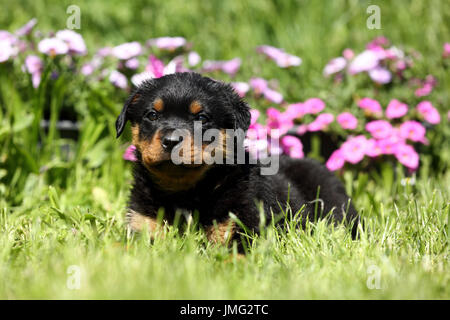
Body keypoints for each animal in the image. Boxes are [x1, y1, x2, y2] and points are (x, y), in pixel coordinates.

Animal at [116, 72, 358, 250]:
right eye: (152, 115)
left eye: (202, 117)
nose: (171, 141)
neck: (182, 190)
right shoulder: (141, 223)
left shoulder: (242, 226)